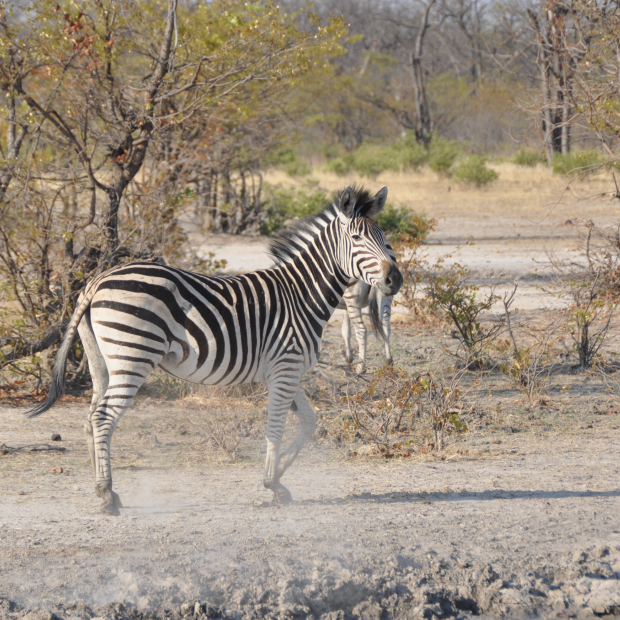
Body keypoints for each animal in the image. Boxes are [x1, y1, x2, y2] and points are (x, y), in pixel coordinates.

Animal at [25, 184, 402, 512]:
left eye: (384, 237)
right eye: (357, 239)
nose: (395, 279)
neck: (301, 294)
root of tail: (98, 280)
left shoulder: (283, 371)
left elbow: (309, 422)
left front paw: (278, 480)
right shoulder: (285, 366)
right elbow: (275, 428)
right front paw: (271, 483)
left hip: (102, 361)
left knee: (90, 418)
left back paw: (103, 489)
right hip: (133, 356)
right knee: (104, 417)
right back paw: (105, 495)